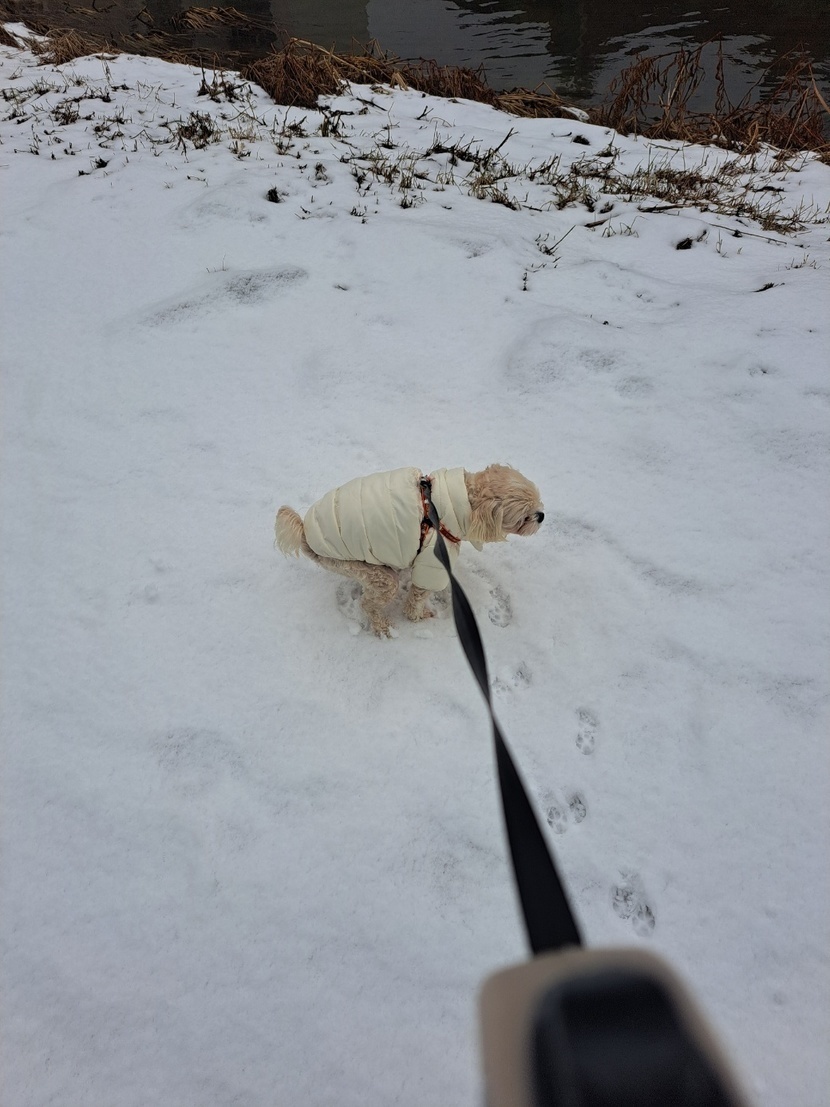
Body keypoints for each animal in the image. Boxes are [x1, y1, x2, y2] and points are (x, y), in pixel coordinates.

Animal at [275, 464, 543, 636]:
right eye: (524, 518)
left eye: (538, 502)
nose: (541, 515)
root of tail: (305, 534)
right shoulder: (433, 559)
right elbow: (417, 597)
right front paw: (417, 616)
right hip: (368, 572)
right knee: (368, 603)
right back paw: (382, 626)